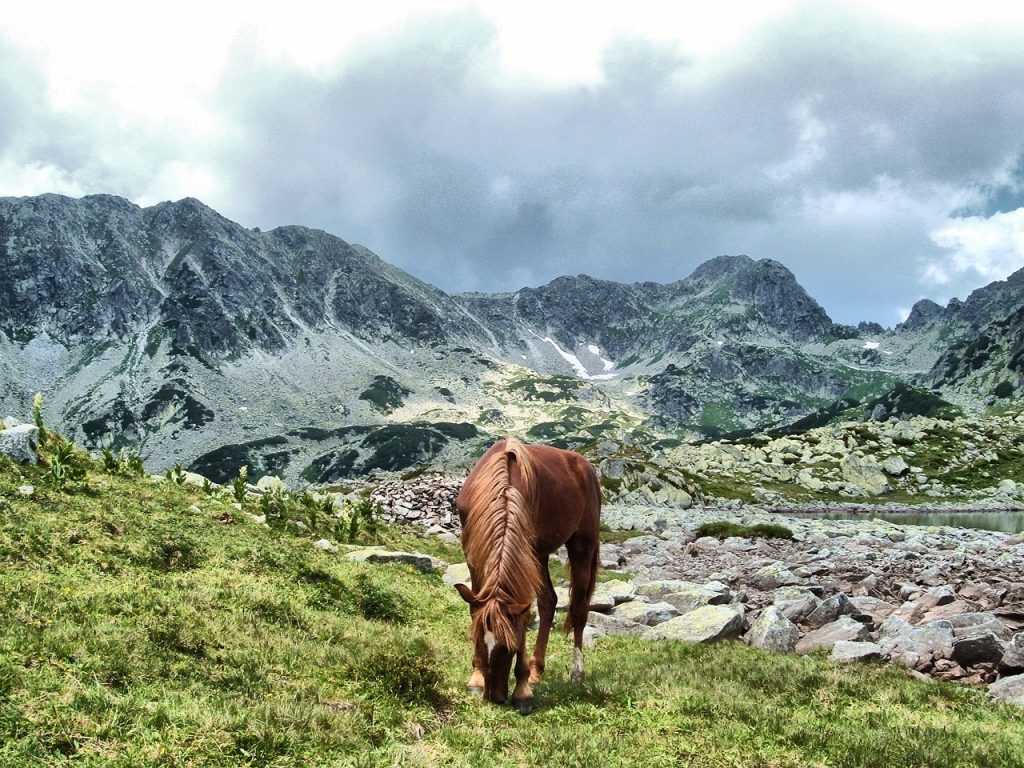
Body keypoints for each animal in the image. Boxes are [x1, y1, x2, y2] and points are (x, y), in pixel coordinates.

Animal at [454, 438, 598, 716]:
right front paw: (476, 677)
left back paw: (576, 672)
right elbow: (476, 609)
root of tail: (585, 466)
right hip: (539, 557)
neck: (505, 488)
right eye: (478, 640)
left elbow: (523, 614)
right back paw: (536, 670)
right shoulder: (473, 553)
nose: (494, 696)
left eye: (509, 648)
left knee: (578, 608)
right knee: (548, 601)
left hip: (582, 544)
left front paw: (521, 691)